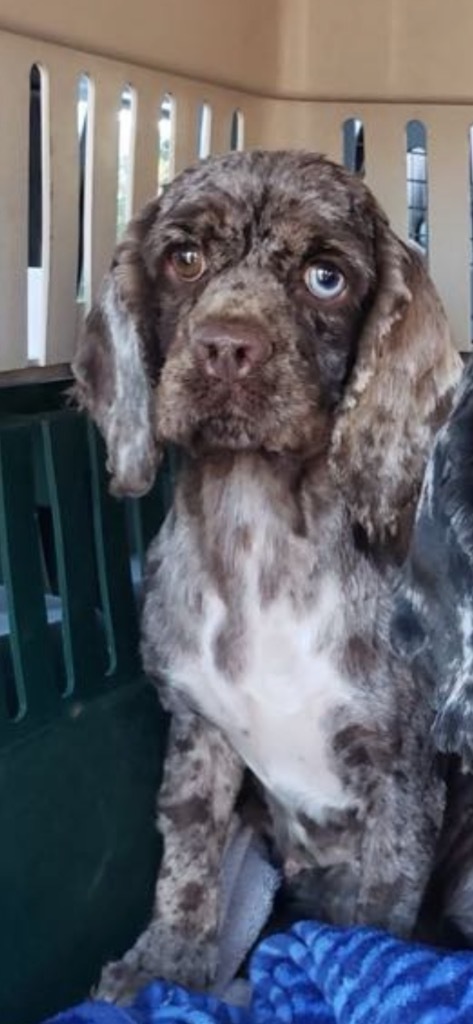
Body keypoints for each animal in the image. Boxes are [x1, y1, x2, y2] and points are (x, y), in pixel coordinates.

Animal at [73, 149, 462, 999]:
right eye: (184, 259)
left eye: (325, 277)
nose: (225, 348)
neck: (257, 534)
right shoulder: (196, 734)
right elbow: (185, 869)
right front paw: (162, 969)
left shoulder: (402, 776)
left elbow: (378, 915)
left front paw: (361, 964)